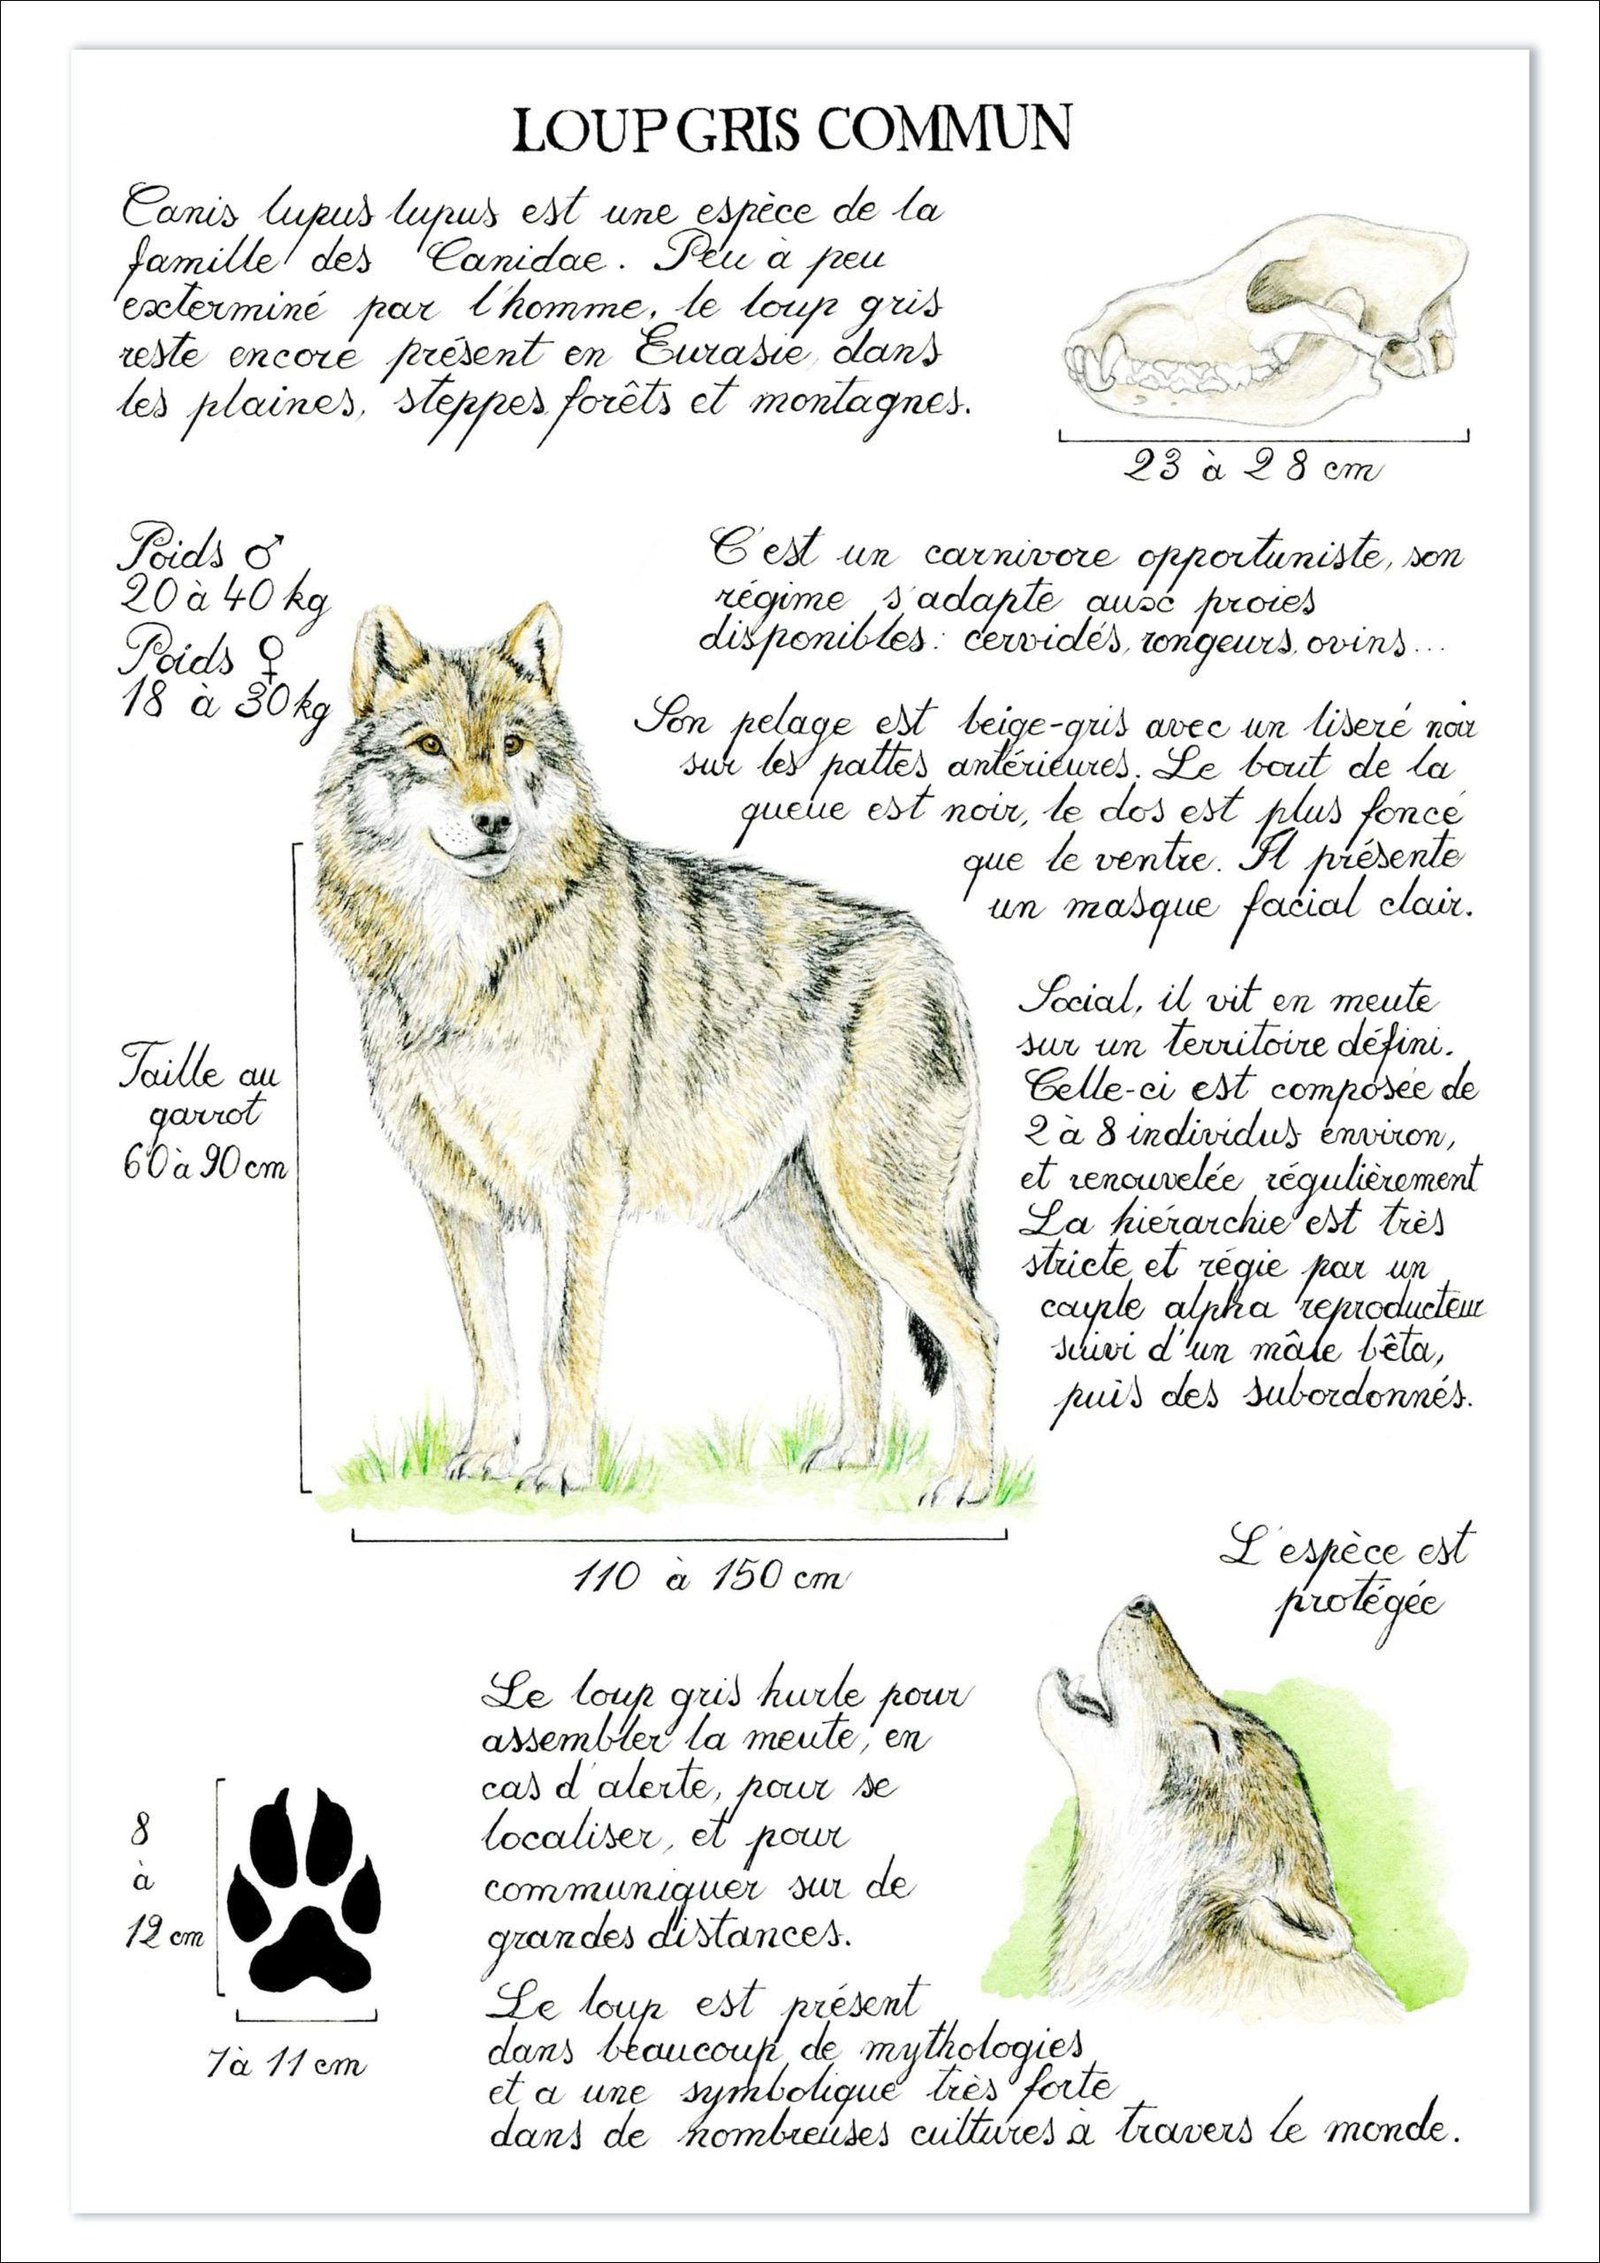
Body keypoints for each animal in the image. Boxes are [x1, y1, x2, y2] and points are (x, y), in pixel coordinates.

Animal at [316, 603, 996, 1502]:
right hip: (774, 1225)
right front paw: (485, 1460)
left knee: (974, 1327)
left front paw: (561, 1471)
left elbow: (562, 1346)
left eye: (512, 744)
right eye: (430, 745)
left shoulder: (579, 1196)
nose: (494, 820)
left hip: (872, 1210)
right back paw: (852, 1453)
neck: (472, 959)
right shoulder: (460, 1204)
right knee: (862, 1306)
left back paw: (969, 1480)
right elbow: (491, 1350)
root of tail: (934, 955)